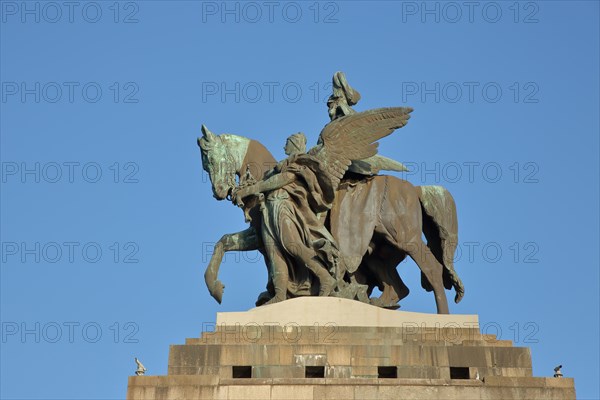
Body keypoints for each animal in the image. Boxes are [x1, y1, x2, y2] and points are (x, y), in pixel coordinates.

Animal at [198, 126, 464, 314]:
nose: (219, 191)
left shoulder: (268, 233)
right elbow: (225, 242)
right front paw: (217, 288)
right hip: (378, 252)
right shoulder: (260, 235)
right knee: (398, 288)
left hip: (405, 238)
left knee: (433, 269)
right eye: (205, 166)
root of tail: (415, 189)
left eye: (211, 159)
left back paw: (443, 319)